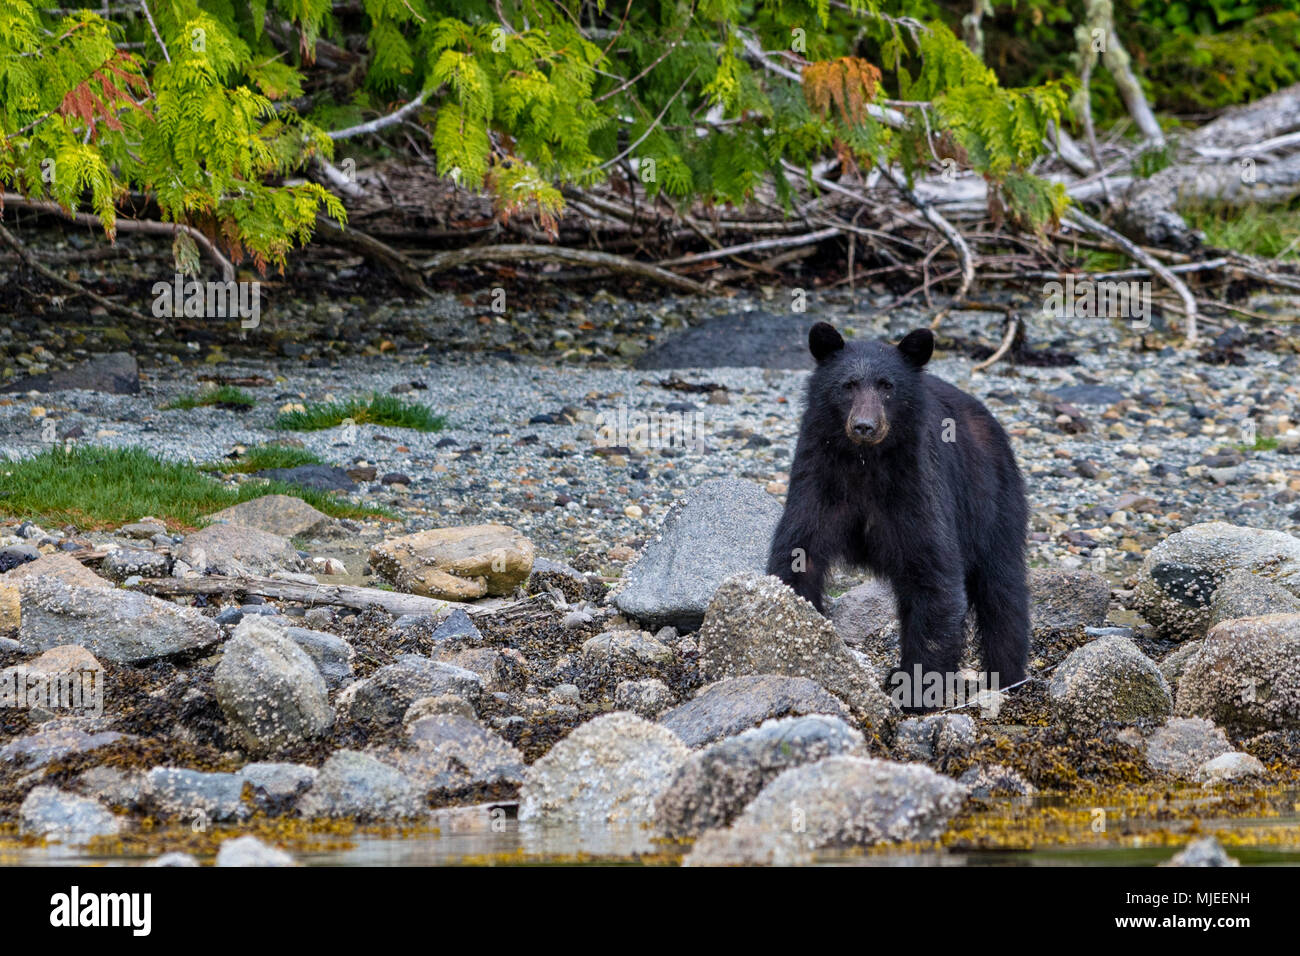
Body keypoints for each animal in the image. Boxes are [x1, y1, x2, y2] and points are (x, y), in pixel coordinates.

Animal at [764, 321, 1029, 702]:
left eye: (887, 386)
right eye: (848, 385)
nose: (864, 426)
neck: (865, 464)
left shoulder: (916, 487)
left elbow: (935, 576)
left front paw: (919, 690)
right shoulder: (816, 478)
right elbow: (799, 556)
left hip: (992, 500)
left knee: (1002, 588)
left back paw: (1008, 676)